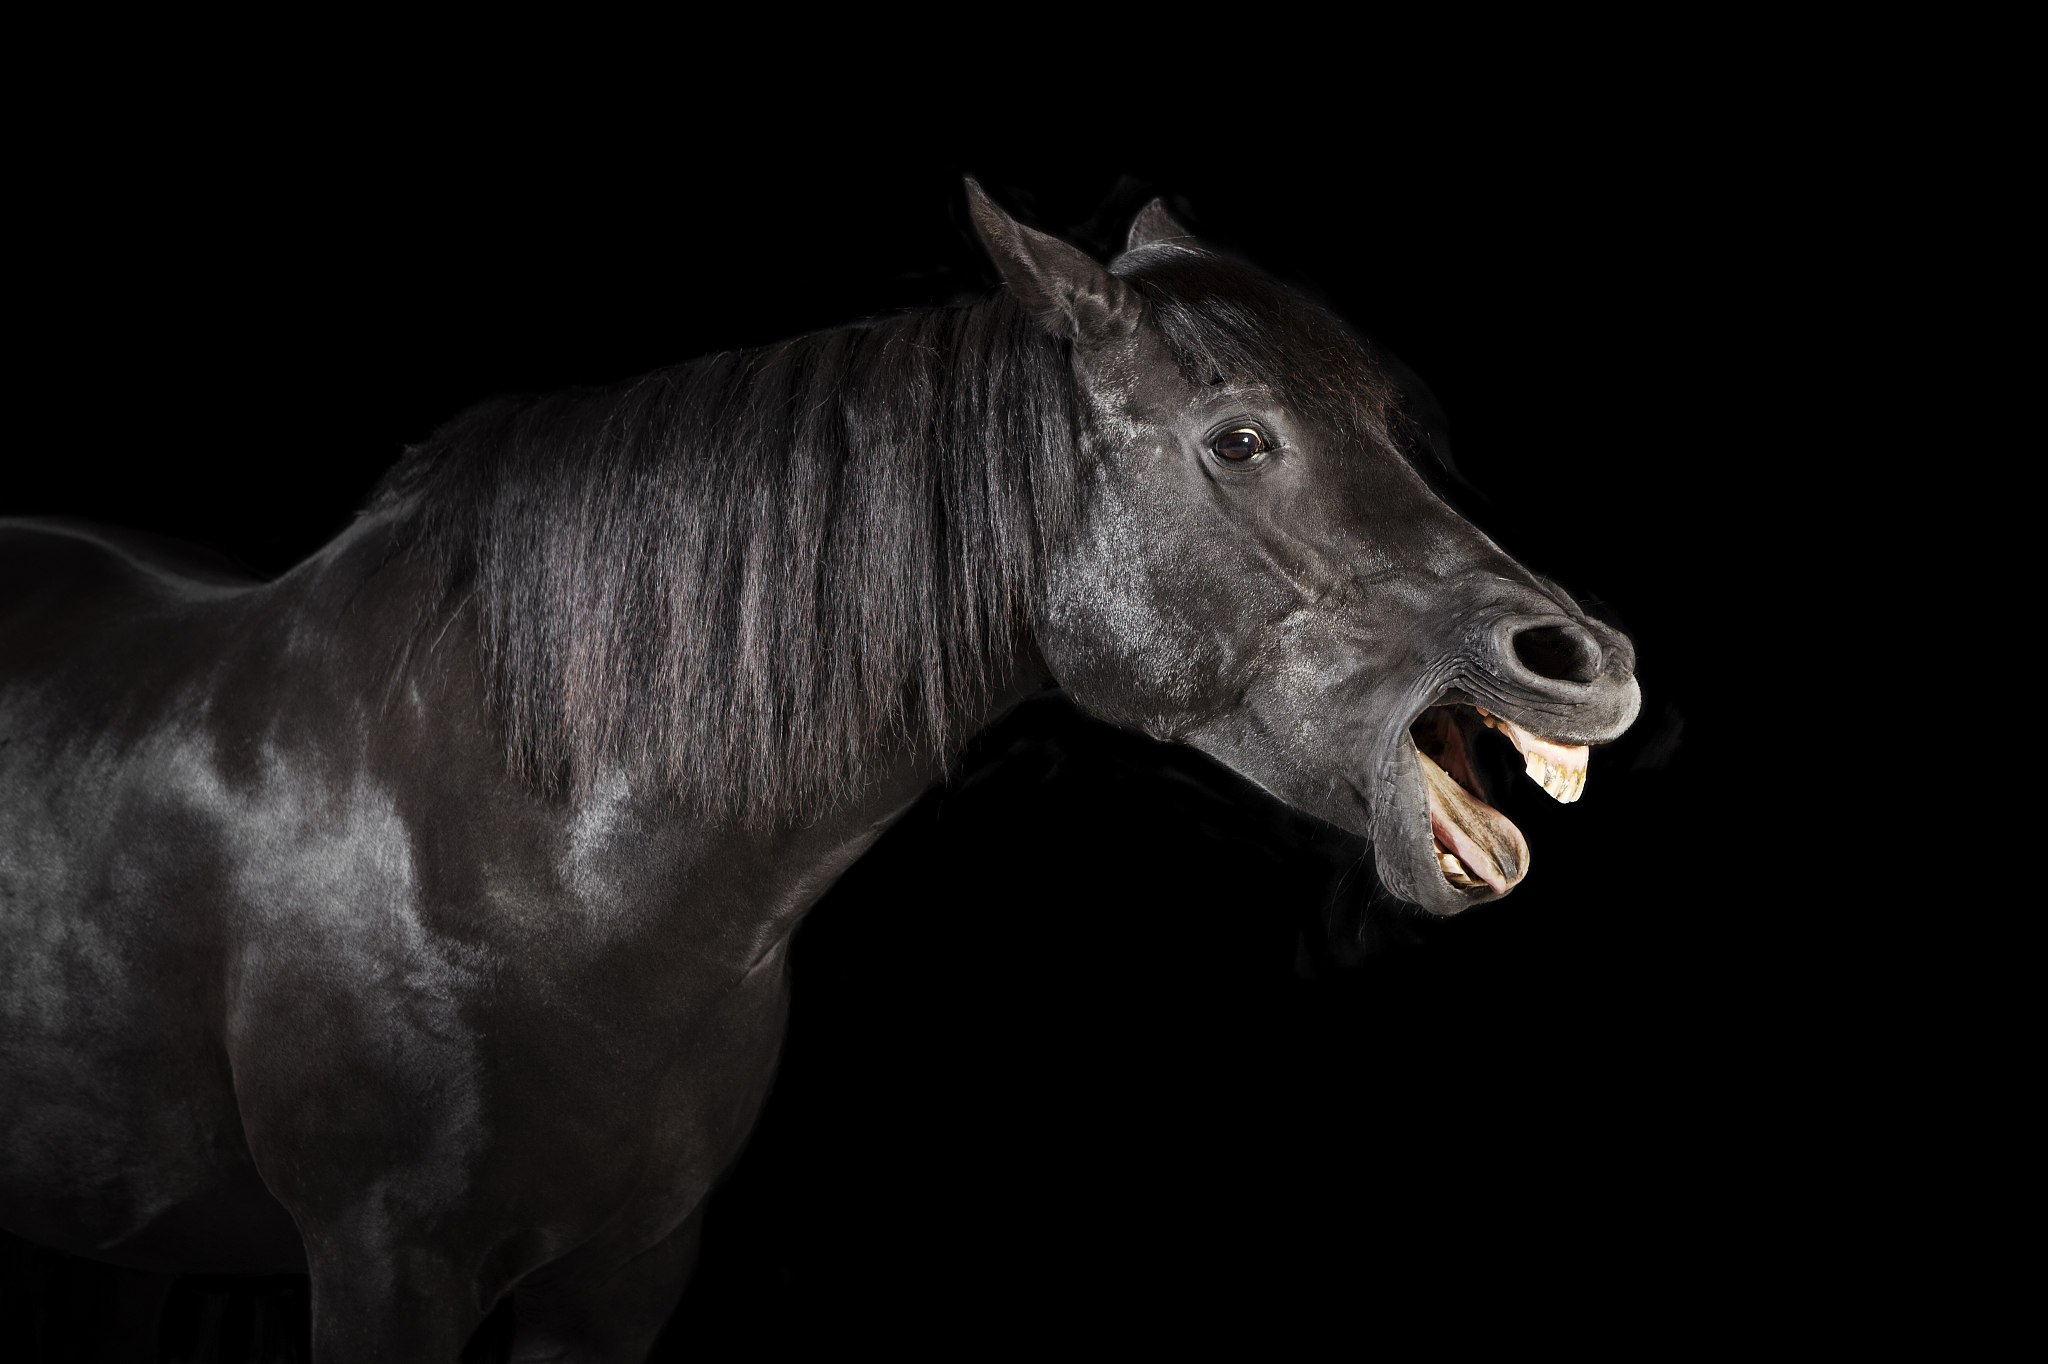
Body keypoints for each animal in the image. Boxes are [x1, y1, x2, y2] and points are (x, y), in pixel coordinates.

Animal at [0, 180, 1640, 1360]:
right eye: (1240, 439)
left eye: (1390, 423)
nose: (1584, 665)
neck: (518, 846)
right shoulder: (381, 1273)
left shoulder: (626, 1276)